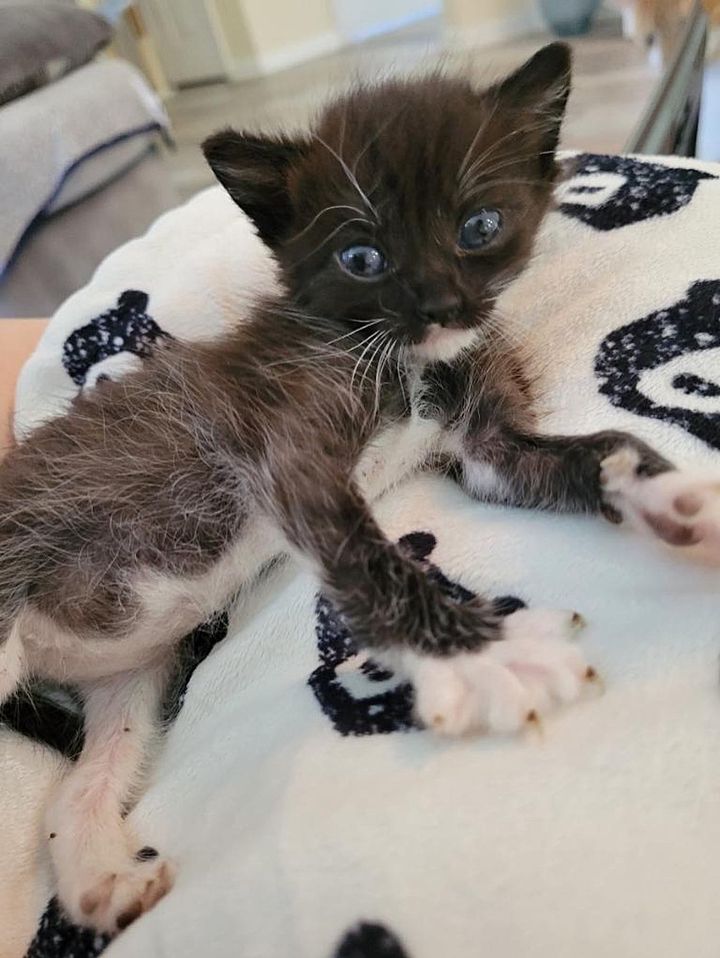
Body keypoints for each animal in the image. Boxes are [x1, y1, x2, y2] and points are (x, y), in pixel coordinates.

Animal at [1, 45, 720, 936]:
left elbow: (602, 449)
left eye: (479, 226)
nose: (441, 304)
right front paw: (490, 656)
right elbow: (375, 565)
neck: (400, 351)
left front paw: (680, 498)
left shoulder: (489, 451)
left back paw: (100, 872)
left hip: (131, 677)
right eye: (362, 258)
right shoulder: (285, 448)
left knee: (81, 778)